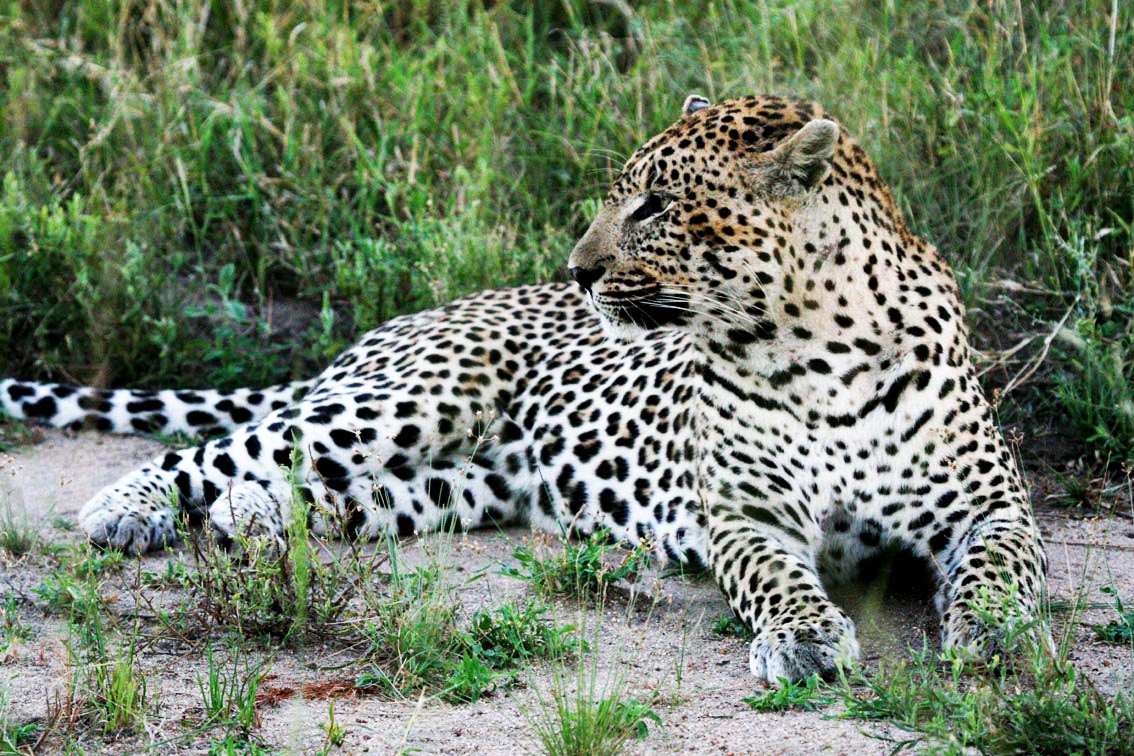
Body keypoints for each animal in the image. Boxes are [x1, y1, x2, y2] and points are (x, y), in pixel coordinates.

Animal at [1, 94, 1047, 685]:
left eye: (656, 206)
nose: (577, 271)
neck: (813, 344)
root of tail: (396, 325)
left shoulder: (991, 506)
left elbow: (1003, 571)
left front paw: (997, 639)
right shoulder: (744, 516)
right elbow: (778, 577)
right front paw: (805, 640)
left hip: (455, 484)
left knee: (317, 492)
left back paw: (249, 520)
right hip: (410, 399)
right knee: (224, 447)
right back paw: (127, 509)